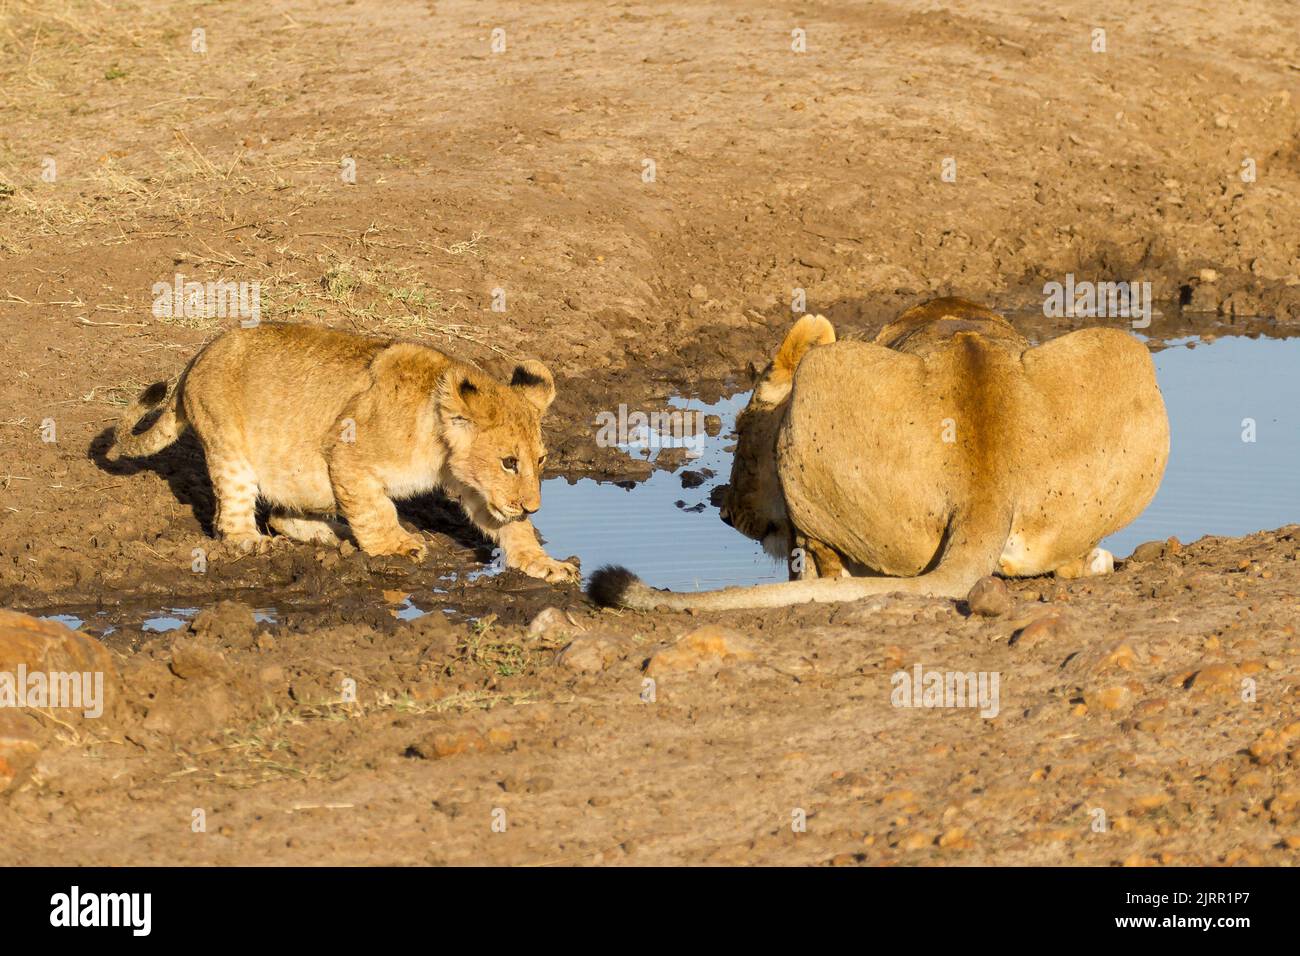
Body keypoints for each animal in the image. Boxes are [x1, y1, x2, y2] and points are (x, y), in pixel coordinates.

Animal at [110, 322, 579, 583]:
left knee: (280, 513)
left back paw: (328, 533)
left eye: (540, 461)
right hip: (231, 449)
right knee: (231, 518)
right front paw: (397, 546)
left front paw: (545, 563)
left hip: (299, 472)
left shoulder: (478, 489)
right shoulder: (344, 453)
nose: (534, 507)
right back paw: (253, 542)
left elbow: (510, 528)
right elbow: (375, 510)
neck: (438, 440)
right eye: (508, 462)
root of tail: (195, 357)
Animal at [589, 297, 1169, 610]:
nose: (728, 515)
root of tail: (985, 491)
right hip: (1127, 353)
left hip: (821, 375)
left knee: (824, 561)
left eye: (742, 440)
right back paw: (1097, 557)